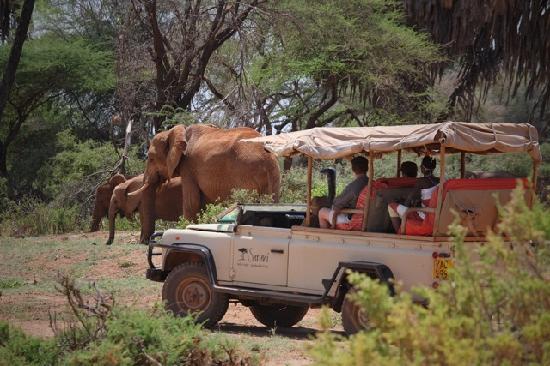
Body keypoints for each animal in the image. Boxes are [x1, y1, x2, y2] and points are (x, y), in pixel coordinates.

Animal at [132, 123, 282, 243]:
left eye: (151, 158)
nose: (144, 241)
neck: (174, 132)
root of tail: (267, 155)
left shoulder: (189, 167)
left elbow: (192, 203)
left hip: (245, 171)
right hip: (272, 176)